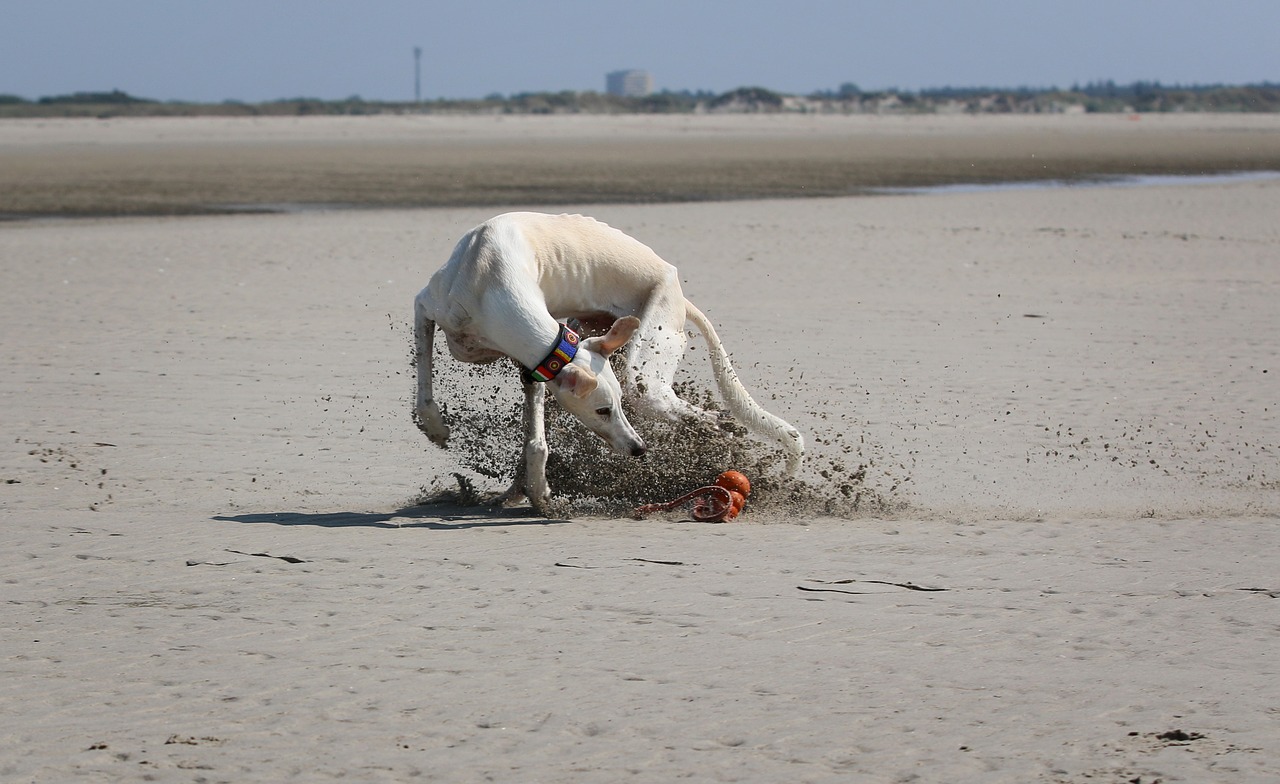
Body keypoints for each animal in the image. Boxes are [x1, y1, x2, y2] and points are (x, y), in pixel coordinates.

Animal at [414, 211, 803, 512]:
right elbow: (424, 390)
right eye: (603, 410)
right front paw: (436, 429)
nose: (639, 448)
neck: (491, 279)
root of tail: (680, 296)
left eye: (613, 407)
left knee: (714, 419)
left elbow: (536, 441)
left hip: (645, 374)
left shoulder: (541, 362)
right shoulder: (434, 312)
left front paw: (539, 494)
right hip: (589, 334)